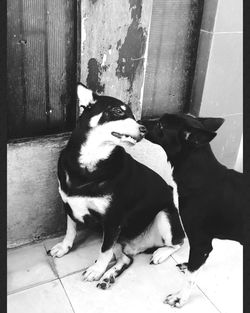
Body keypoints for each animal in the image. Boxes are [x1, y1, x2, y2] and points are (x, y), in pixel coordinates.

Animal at [48, 84, 185, 288]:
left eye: (133, 116)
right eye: (117, 111)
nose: (144, 129)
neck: (91, 161)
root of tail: (139, 246)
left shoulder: (113, 220)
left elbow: (104, 251)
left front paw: (96, 270)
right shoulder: (68, 205)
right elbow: (70, 230)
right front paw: (64, 247)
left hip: (164, 216)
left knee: (179, 242)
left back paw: (159, 253)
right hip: (121, 239)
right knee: (126, 259)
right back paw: (109, 276)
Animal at [142, 112, 245, 308]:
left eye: (161, 125)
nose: (138, 122)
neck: (201, 174)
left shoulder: (200, 243)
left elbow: (191, 277)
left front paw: (180, 297)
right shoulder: (202, 247)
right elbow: (194, 267)